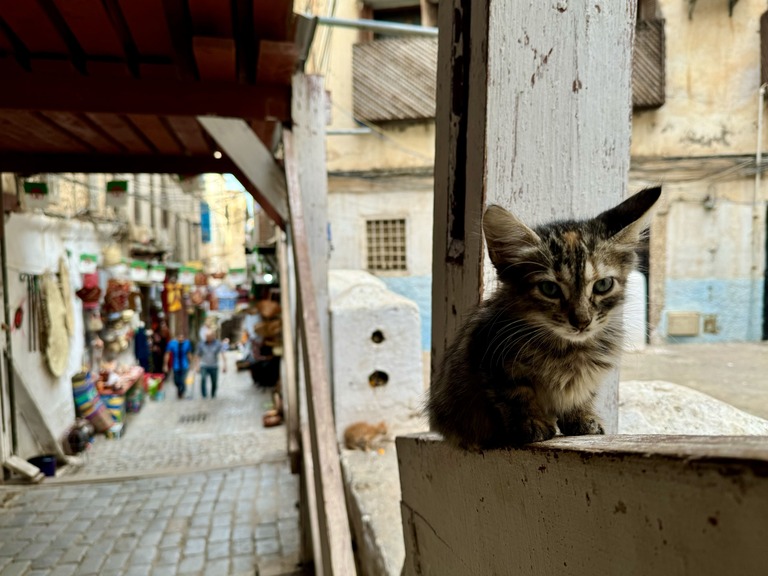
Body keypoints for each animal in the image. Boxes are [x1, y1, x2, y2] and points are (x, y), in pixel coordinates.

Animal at [426, 187, 660, 448]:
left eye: (603, 285)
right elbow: (517, 393)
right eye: (549, 289)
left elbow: (583, 394)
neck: (569, 349)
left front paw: (582, 417)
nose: (582, 322)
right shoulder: (490, 356)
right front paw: (532, 423)